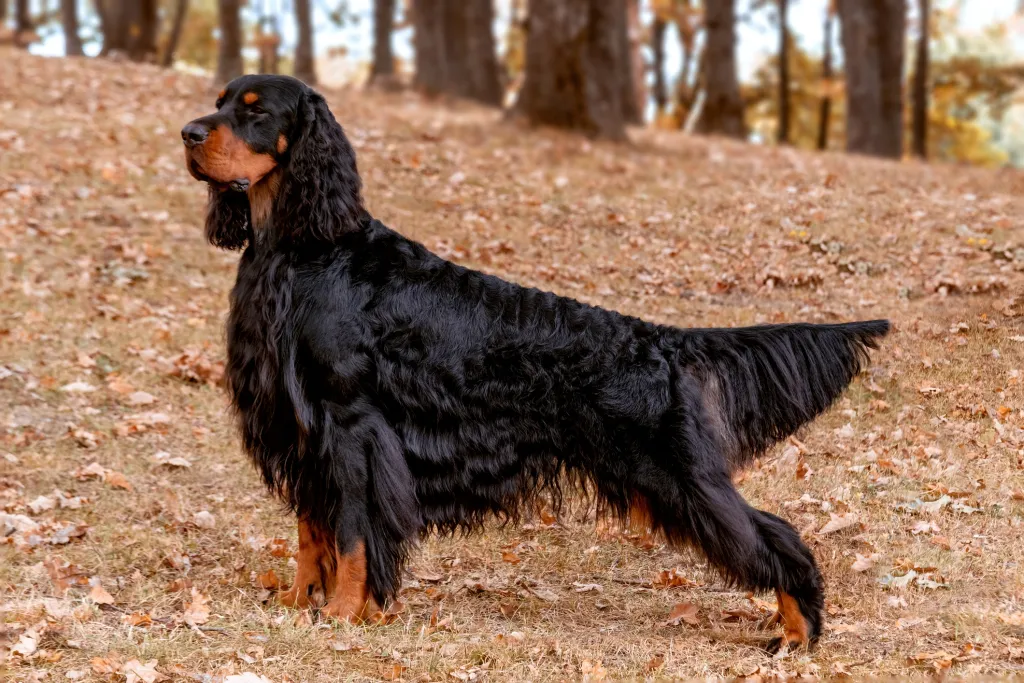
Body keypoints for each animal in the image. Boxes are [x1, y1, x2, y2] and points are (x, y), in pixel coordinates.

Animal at [184, 73, 888, 651]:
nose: (189, 133)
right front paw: (299, 602)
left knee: (774, 536)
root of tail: (661, 341)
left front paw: (342, 614)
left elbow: (353, 531)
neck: (303, 245)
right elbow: (313, 530)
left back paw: (799, 632)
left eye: (254, 110)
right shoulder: (302, 426)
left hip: (677, 474)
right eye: (220, 100)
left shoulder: (352, 425)